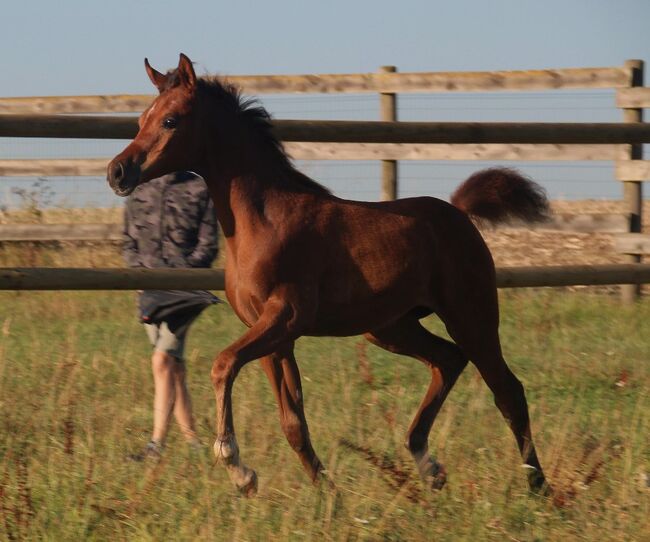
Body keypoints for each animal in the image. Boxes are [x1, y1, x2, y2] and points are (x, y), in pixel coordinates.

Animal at [107, 53, 552, 500]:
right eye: (141, 118)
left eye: (170, 120)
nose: (117, 172)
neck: (264, 220)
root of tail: (459, 213)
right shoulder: (271, 335)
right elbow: (292, 422)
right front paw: (328, 495)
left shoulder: (286, 316)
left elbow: (224, 364)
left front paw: (237, 467)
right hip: (389, 327)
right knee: (448, 360)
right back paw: (428, 465)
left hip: (470, 316)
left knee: (507, 390)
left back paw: (538, 487)